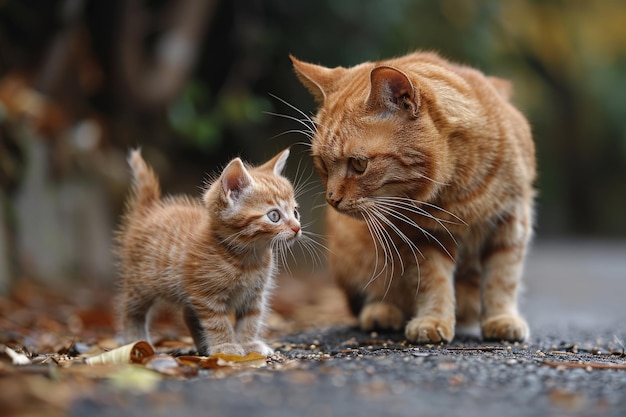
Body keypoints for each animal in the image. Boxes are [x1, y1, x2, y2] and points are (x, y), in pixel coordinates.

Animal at [114, 147, 300, 354]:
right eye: (274, 216)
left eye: (295, 212)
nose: (297, 228)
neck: (247, 258)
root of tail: (149, 209)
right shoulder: (206, 295)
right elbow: (217, 322)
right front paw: (226, 347)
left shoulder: (254, 295)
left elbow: (251, 320)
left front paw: (248, 345)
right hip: (140, 283)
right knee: (131, 310)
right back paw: (135, 340)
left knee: (187, 313)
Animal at [290, 51, 532, 342]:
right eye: (323, 164)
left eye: (359, 164)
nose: (332, 199)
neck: (458, 190)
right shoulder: (423, 237)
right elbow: (433, 281)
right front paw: (433, 320)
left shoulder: (510, 223)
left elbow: (502, 278)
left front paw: (502, 319)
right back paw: (382, 311)